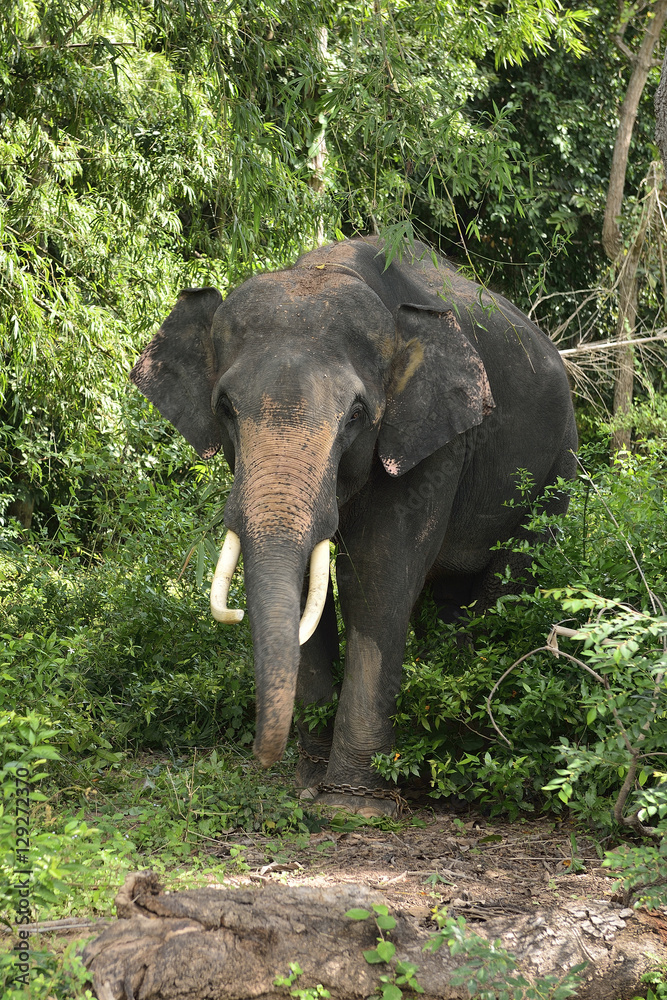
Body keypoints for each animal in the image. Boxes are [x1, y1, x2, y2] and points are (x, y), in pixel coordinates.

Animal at [130, 236, 577, 816]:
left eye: (357, 415)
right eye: (225, 407)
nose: (263, 761)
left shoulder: (432, 438)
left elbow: (378, 577)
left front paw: (352, 806)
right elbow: (309, 592)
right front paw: (308, 784)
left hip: (558, 465)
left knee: (508, 584)